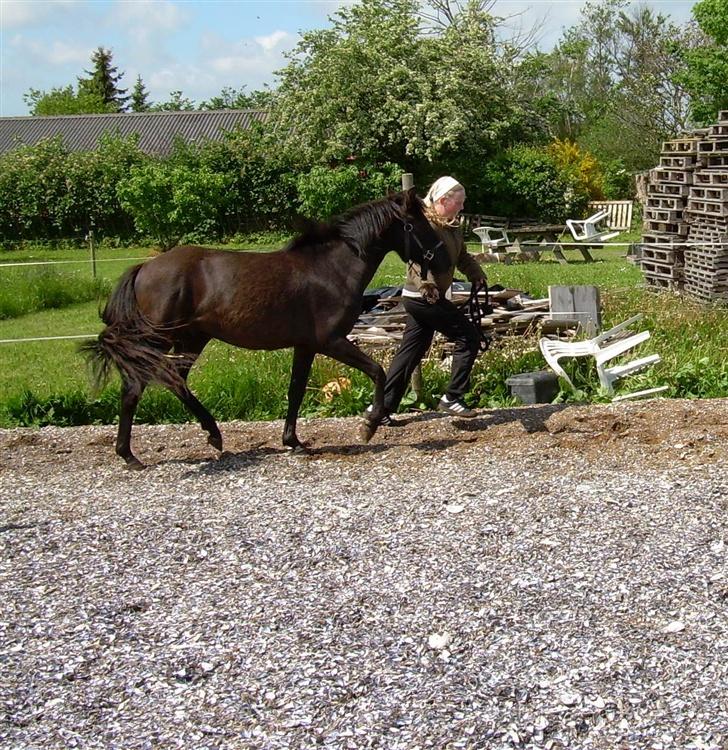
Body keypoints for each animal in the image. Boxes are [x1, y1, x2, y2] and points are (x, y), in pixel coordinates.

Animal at [82, 189, 440, 470]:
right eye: (419, 223)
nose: (438, 256)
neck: (333, 269)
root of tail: (144, 267)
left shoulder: (305, 345)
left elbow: (296, 390)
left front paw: (293, 441)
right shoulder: (331, 341)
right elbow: (377, 370)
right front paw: (369, 425)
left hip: (192, 339)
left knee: (175, 381)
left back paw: (211, 435)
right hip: (158, 340)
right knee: (136, 387)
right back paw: (131, 455)